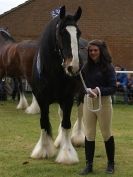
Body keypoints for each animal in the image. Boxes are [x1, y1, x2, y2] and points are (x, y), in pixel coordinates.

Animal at [30, 5, 84, 164]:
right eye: (61, 32)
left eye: (78, 33)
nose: (74, 67)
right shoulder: (41, 99)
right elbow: (44, 122)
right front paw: (43, 150)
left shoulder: (68, 98)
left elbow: (66, 123)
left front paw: (67, 155)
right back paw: (59, 141)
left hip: (81, 95)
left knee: (79, 114)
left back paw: (78, 138)